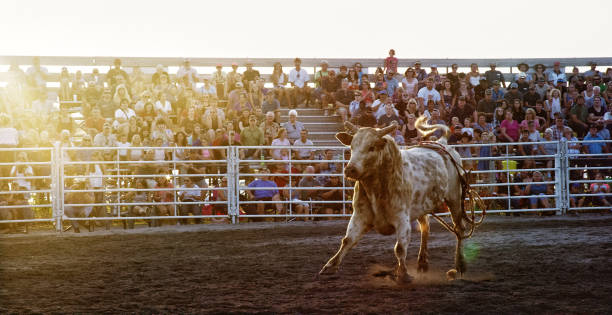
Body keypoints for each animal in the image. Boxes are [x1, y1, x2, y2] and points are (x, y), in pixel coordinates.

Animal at [320, 117, 482, 282]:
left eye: (371, 147)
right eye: (352, 146)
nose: (350, 169)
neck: (377, 186)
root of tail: (442, 143)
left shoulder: (402, 218)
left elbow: (400, 248)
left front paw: (403, 274)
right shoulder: (359, 215)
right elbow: (347, 240)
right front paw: (330, 266)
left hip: (455, 198)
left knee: (459, 229)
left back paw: (459, 267)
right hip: (422, 206)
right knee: (425, 227)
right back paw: (422, 263)